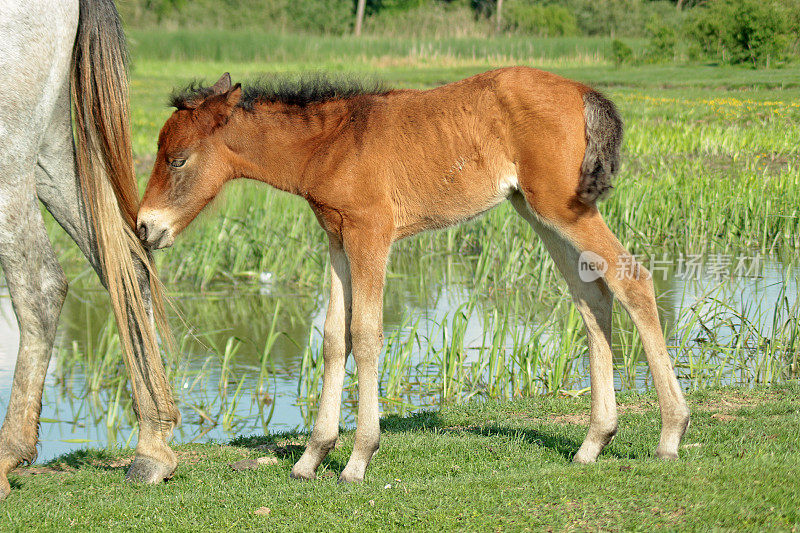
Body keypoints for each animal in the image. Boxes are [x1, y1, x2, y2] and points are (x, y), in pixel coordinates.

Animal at [136, 67, 688, 482]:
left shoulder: (371, 235)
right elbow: (334, 337)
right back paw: (594, 442)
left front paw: (357, 460)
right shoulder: (337, 239)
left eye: (177, 160)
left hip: (561, 207)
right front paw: (312, 457)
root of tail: (580, 90)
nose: (144, 226)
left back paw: (670, 434)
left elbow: (367, 334)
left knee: (631, 277)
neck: (333, 143)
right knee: (592, 297)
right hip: (539, 212)